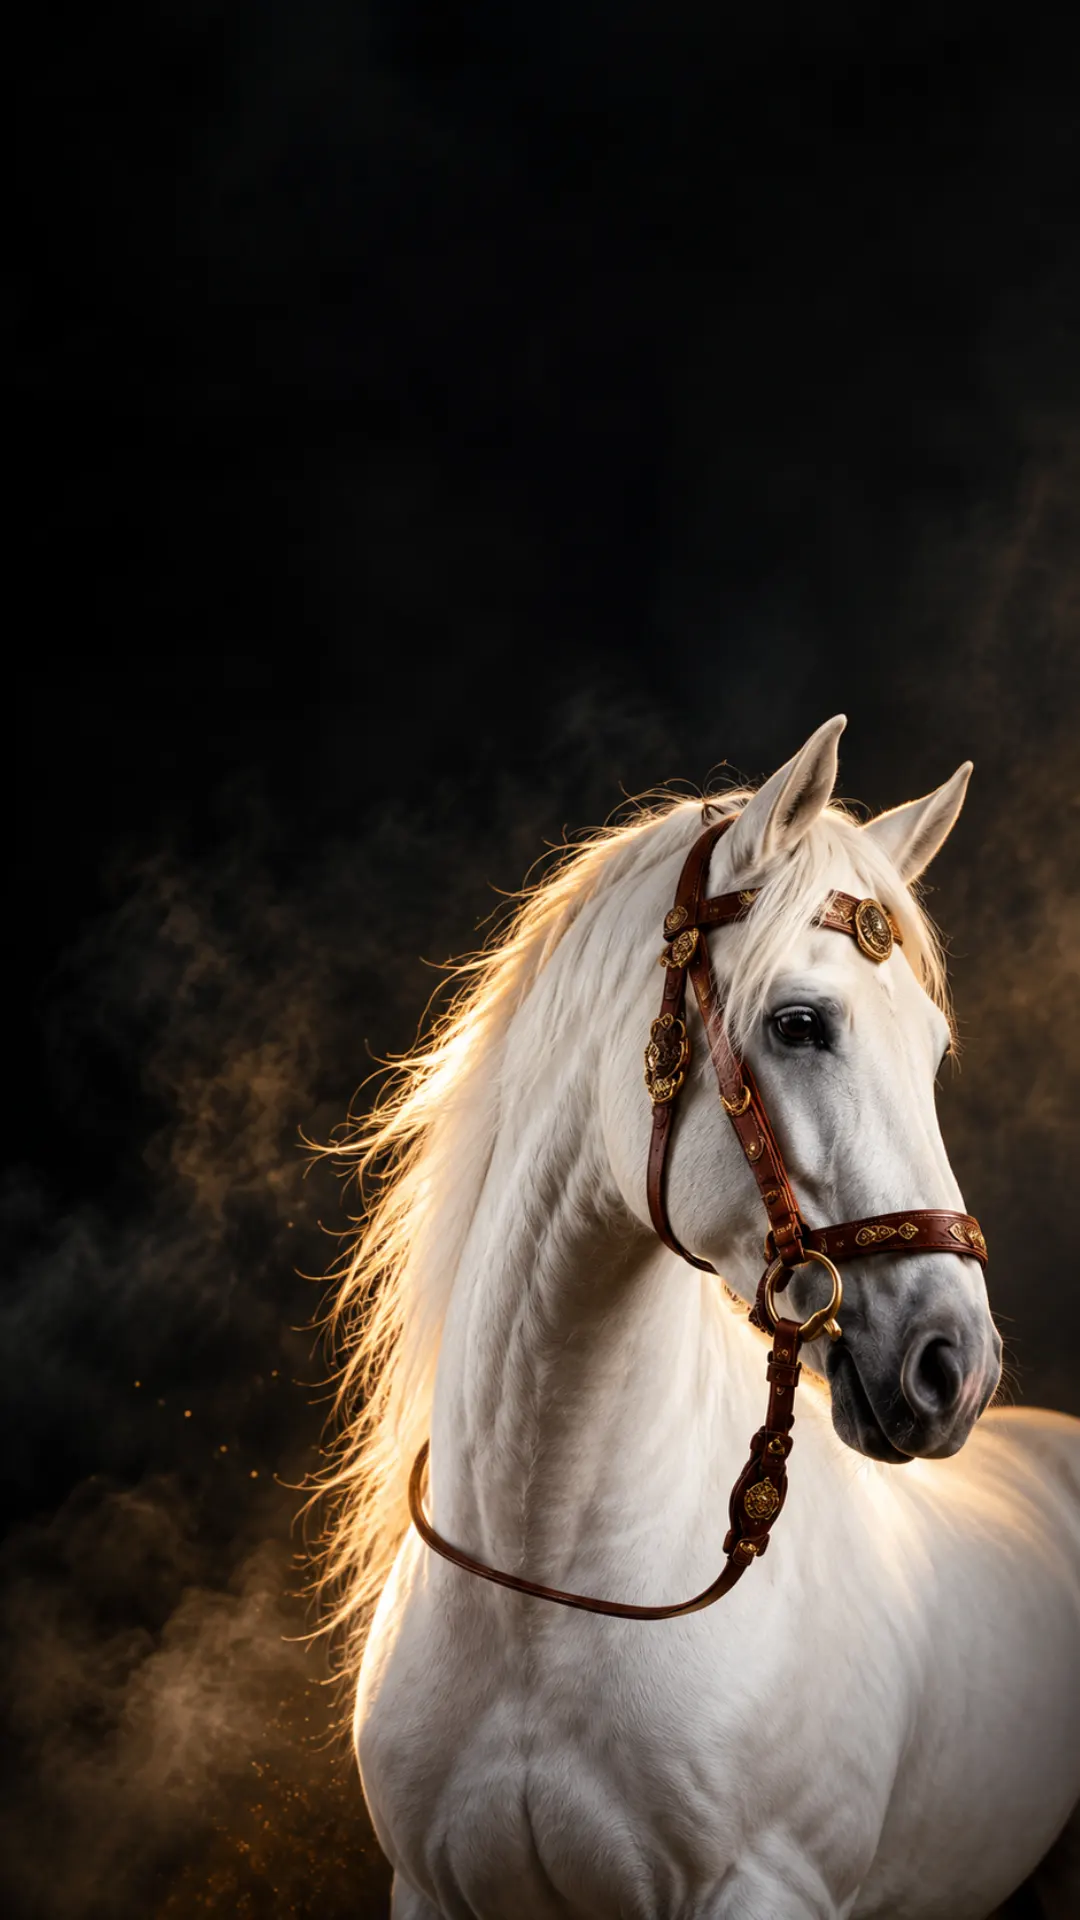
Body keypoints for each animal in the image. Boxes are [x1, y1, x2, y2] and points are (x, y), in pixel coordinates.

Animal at [320, 716, 1080, 1919]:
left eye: (931, 1052)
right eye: (801, 1023)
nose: (951, 1368)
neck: (546, 1589)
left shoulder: (763, 1889)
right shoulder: (430, 1893)